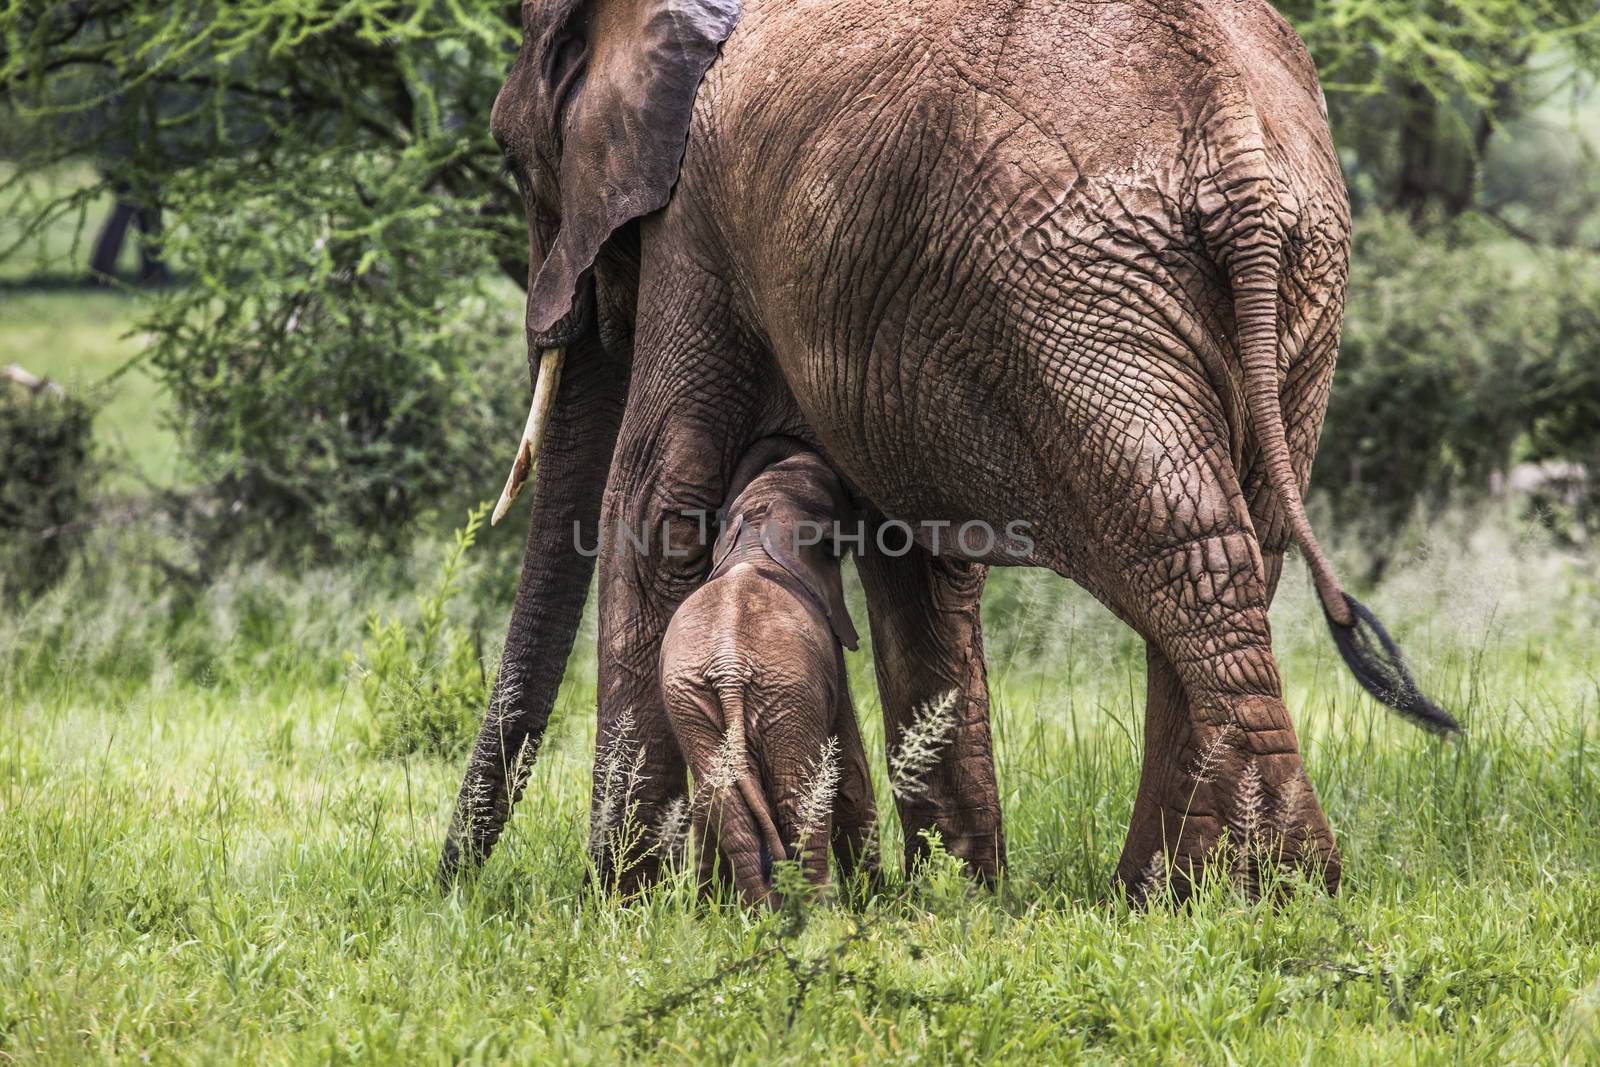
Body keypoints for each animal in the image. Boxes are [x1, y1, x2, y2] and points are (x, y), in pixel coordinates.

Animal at [659, 438, 883, 908]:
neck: (760, 522)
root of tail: (728, 668)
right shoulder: (829, 667)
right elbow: (849, 771)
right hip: (787, 695)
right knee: (800, 794)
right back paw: (817, 910)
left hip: (694, 702)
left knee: (722, 801)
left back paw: (760, 908)